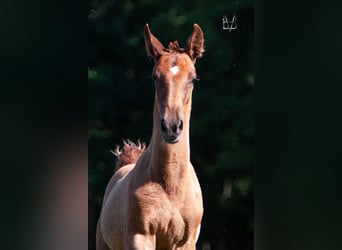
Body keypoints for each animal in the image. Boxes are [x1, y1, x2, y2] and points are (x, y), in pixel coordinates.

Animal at [95, 23, 204, 250]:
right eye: (155, 77)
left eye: (193, 78)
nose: (171, 127)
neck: (171, 186)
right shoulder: (141, 236)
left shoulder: (185, 242)